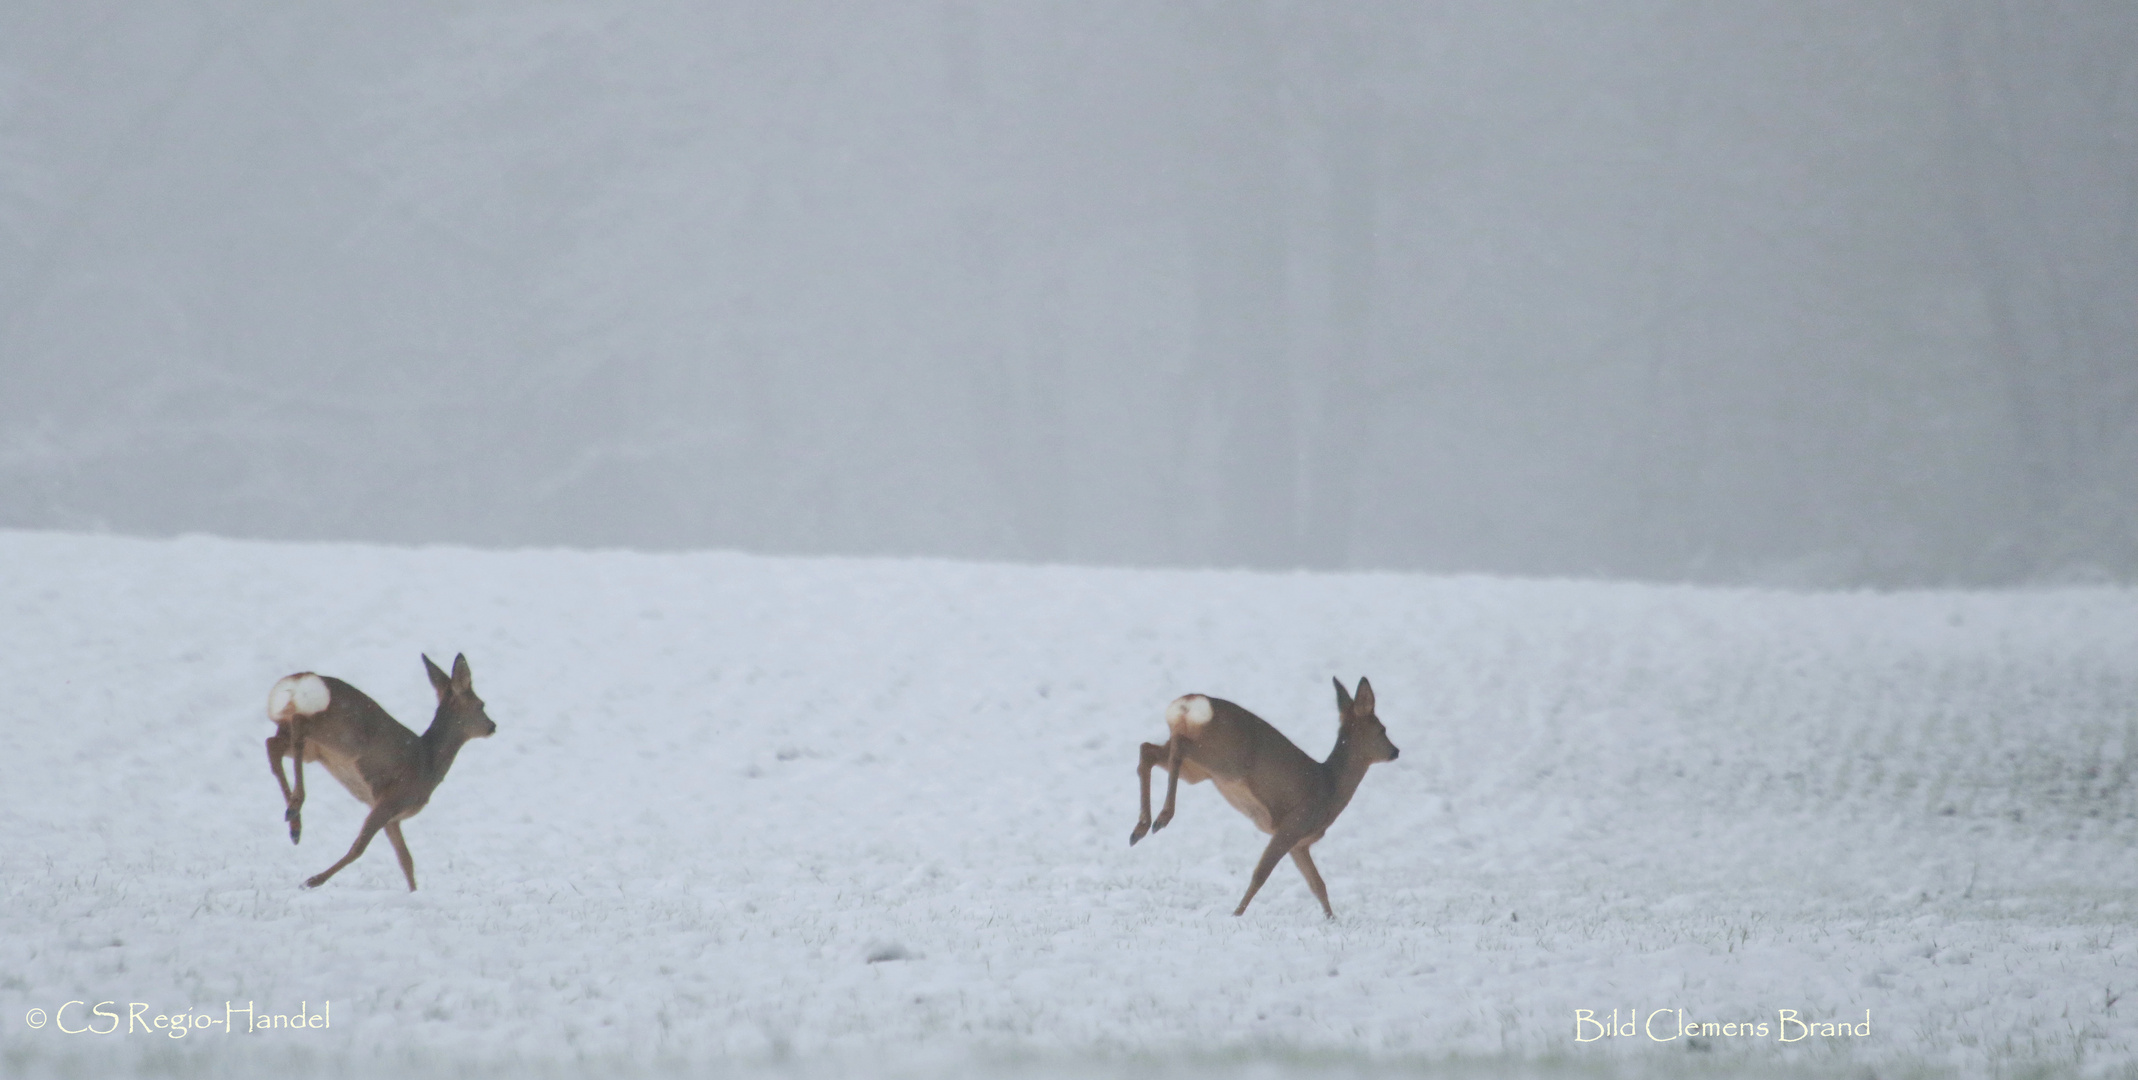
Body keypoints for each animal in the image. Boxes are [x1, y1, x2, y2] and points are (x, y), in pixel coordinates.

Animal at [264, 654, 496, 889]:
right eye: (481, 705)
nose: (492, 726)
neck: (429, 763)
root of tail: (300, 681)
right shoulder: (391, 800)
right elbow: (358, 848)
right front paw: (313, 881)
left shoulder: (392, 817)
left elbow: (405, 859)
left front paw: (414, 892)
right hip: (342, 737)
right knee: (298, 727)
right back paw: (295, 809)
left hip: (313, 746)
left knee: (273, 744)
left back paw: (294, 825)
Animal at [1128, 675, 1393, 919]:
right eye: (1382, 730)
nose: (1395, 751)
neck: (1331, 786)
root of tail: (1189, 704)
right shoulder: (1293, 825)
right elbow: (1261, 874)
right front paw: (1236, 914)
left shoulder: (1300, 844)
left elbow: (1317, 884)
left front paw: (1332, 920)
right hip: (1225, 760)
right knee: (1177, 748)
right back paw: (1162, 818)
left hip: (1199, 770)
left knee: (1149, 749)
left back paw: (1141, 828)